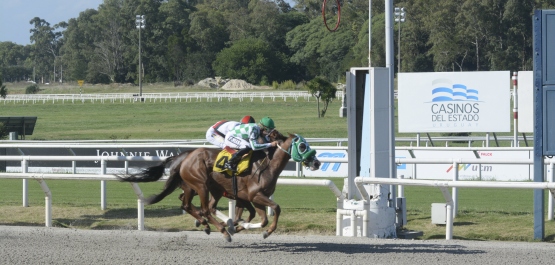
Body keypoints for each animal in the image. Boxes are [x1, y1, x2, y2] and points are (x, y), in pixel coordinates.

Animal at [117, 131, 320, 240]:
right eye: (302, 146)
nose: (317, 163)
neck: (266, 166)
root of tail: (183, 156)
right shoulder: (254, 195)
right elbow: (275, 208)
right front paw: (264, 232)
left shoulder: (253, 199)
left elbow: (260, 218)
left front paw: (241, 226)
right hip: (201, 185)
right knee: (204, 208)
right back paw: (219, 229)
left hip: (206, 188)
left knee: (190, 204)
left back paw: (209, 224)